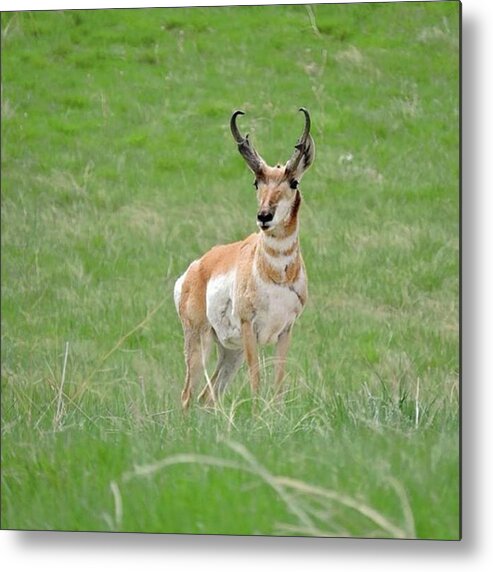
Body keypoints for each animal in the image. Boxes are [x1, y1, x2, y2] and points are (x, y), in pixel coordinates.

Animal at [174, 108, 316, 412]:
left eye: (294, 181)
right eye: (256, 182)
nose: (264, 216)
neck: (276, 276)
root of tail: (194, 269)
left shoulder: (286, 330)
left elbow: (278, 382)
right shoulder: (250, 328)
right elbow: (256, 380)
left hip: (230, 351)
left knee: (208, 395)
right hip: (199, 340)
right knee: (187, 395)